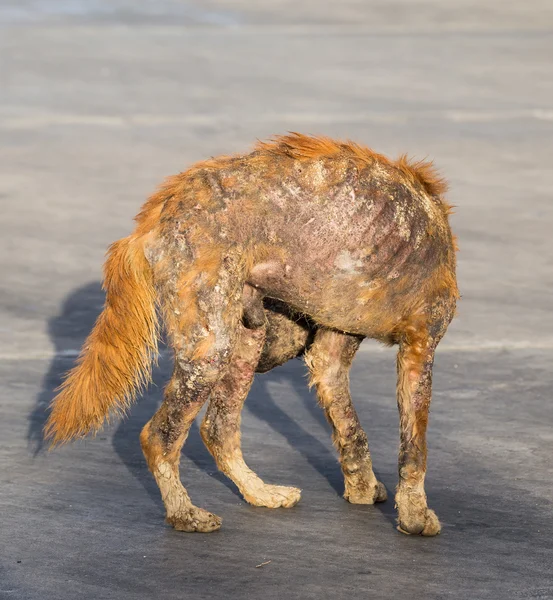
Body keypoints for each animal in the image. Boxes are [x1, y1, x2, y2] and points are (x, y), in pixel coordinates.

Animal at [45, 135, 458, 536]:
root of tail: (158, 210)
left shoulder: (329, 354)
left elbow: (352, 430)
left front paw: (362, 489)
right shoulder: (420, 346)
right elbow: (414, 451)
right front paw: (415, 518)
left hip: (243, 345)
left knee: (217, 429)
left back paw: (260, 493)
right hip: (210, 352)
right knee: (160, 436)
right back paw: (185, 515)